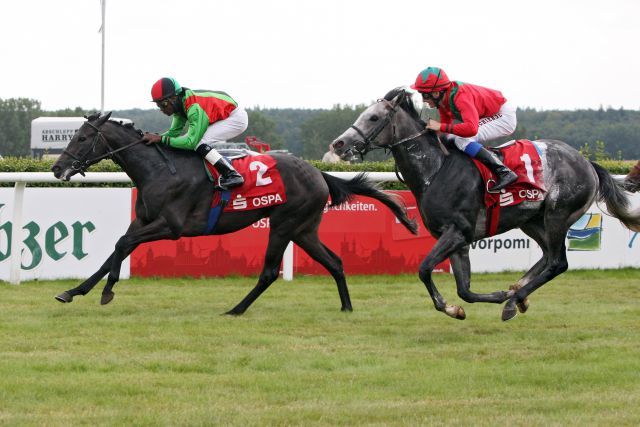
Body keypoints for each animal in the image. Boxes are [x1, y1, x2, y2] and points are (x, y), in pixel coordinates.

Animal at [52, 113, 418, 314]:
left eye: (82, 137)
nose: (57, 168)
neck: (158, 170)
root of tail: (317, 172)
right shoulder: (143, 220)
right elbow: (115, 250)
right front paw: (73, 291)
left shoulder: (170, 226)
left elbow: (121, 245)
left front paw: (107, 290)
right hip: (304, 230)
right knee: (335, 262)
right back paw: (346, 306)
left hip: (284, 225)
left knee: (269, 272)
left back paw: (236, 309)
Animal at [330, 89, 640, 320]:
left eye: (373, 117)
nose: (338, 143)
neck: (436, 170)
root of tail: (587, 163)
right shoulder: (457, 240)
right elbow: (464, 290)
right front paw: (469, 304)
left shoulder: (457, 231)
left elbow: (425, 268)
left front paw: (456, 307)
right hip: (532, 221)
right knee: (547, 257)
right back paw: (516, 293)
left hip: (558, 215)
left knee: (557, 262)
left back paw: (516, 299)